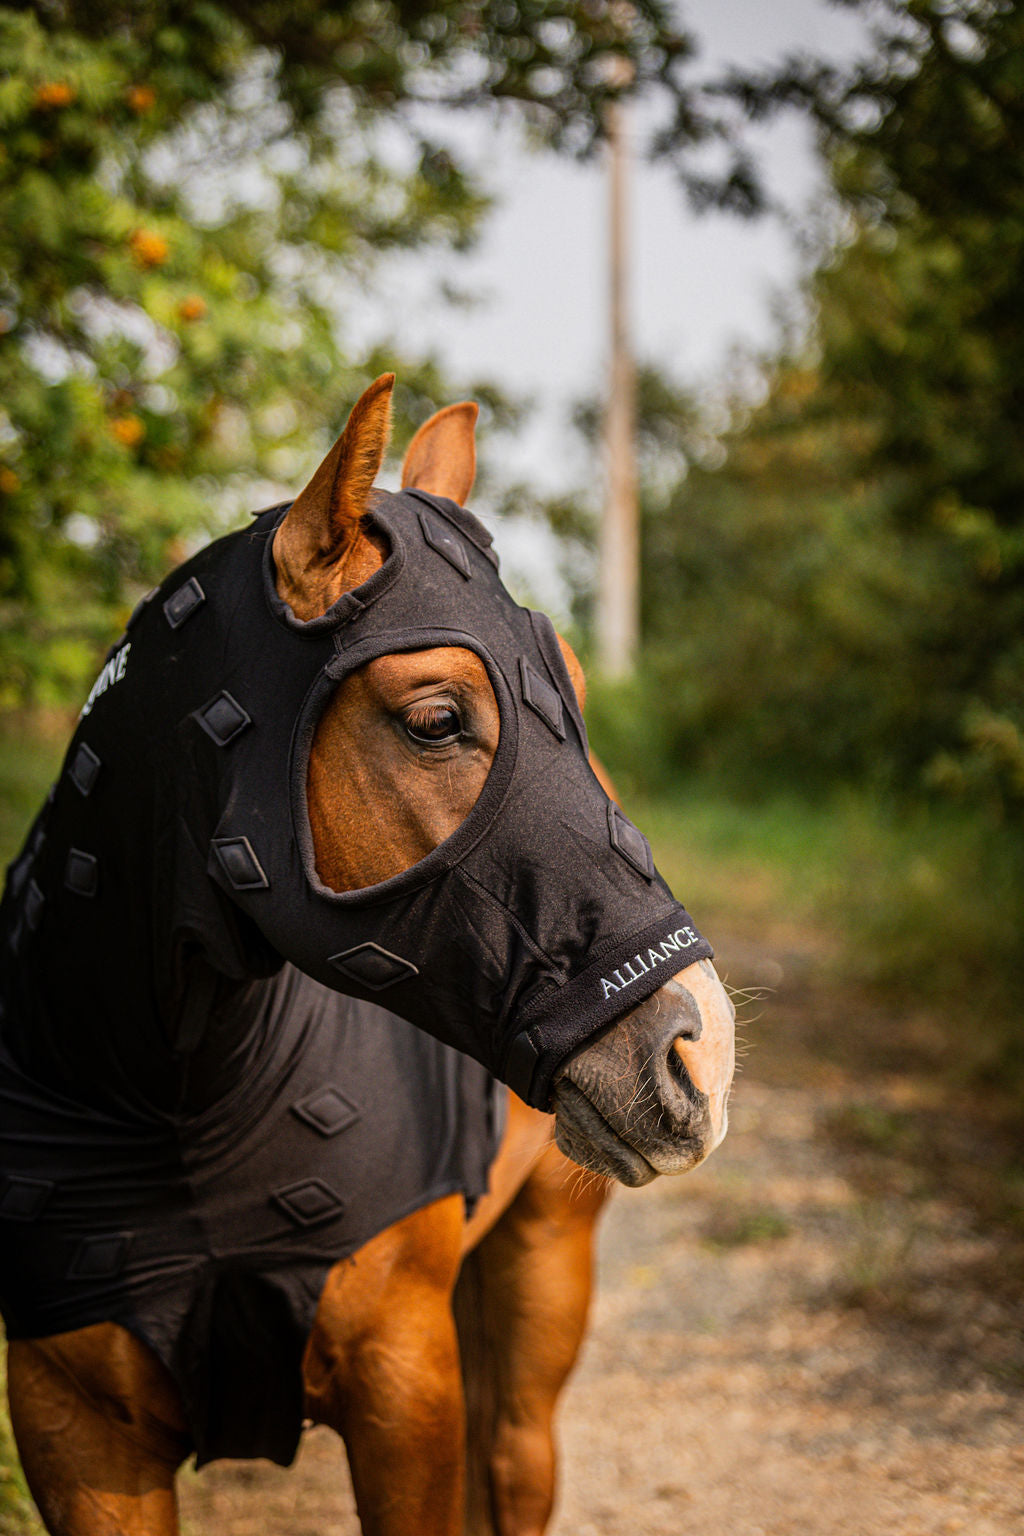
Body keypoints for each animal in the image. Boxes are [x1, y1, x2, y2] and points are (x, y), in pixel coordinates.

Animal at [0, 373, 736, 1536]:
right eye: (435, 719)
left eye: (570, 689)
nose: (700, 1052)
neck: (171, 1100)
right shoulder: (75, 1432)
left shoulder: (405, 1390)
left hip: (544, 1265)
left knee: (514, 1461)